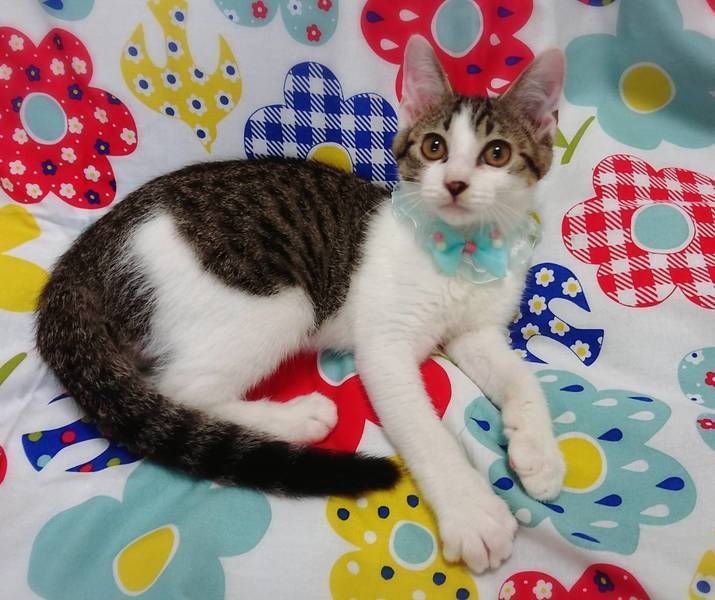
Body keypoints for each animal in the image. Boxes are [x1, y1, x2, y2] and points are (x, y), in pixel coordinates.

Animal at [36, 36, 565, 573]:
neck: (461, 252)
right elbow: (426, 431)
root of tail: (88, 249)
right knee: (181, 387)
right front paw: (474, 512)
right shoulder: (385, 347)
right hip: (283, 300)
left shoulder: (477, 331)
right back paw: (298, 418)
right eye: (434, 146)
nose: (455, 183)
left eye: (496, 154)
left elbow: (522, 377)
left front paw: (538, 452)